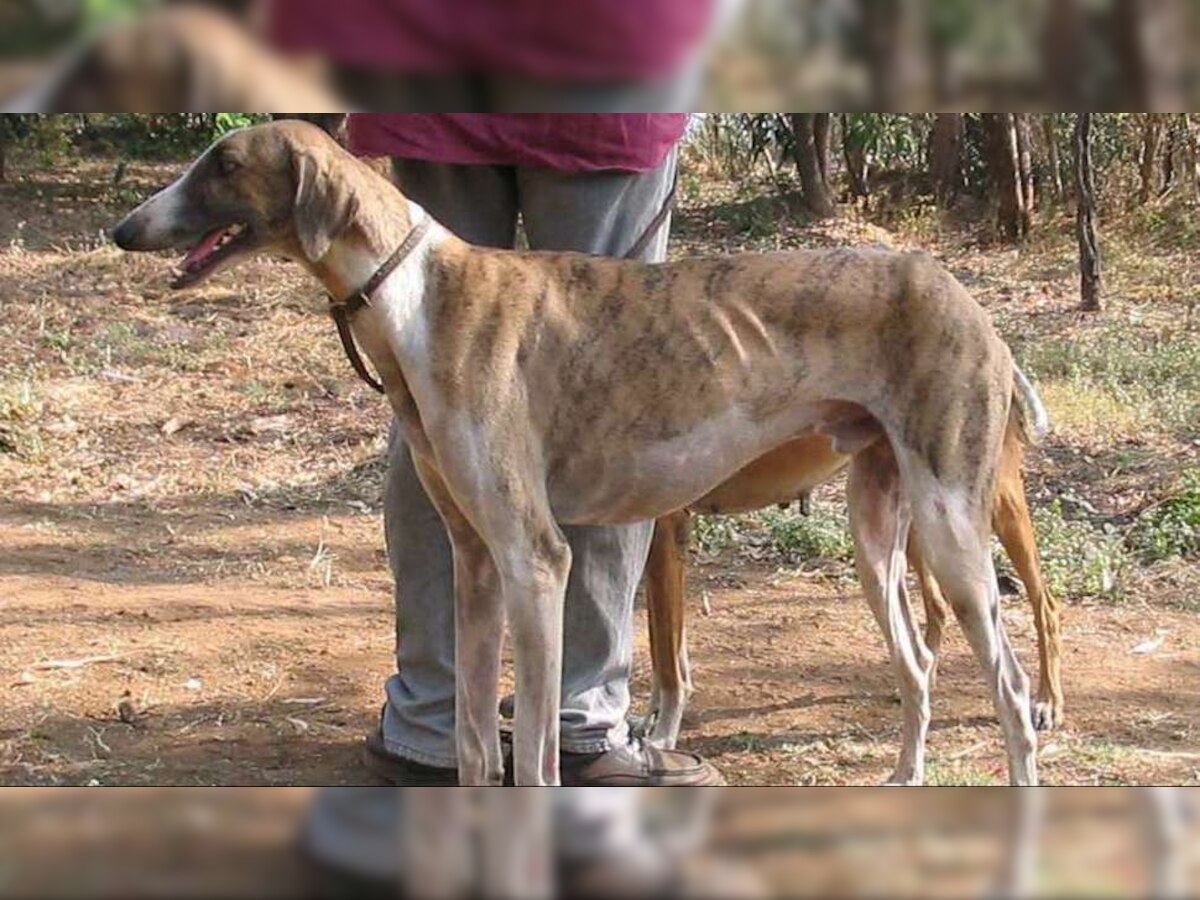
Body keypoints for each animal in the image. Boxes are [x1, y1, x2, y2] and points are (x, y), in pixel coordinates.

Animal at [114, 121, 1041, 787]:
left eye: (225, 164)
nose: (124, 230)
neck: (415, 295)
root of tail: (970, 303)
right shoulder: (474, 562)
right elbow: (476, 750)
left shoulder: (535, 561)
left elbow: (534, 763)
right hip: (879, 529)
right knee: (919, 665)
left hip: (952, 535)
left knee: (1014, 693)